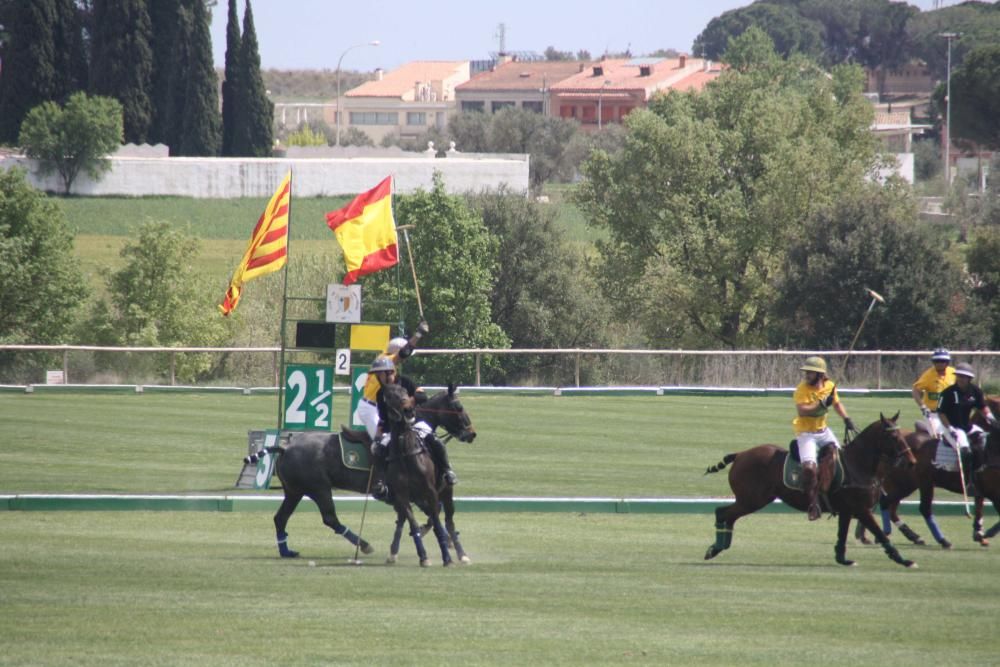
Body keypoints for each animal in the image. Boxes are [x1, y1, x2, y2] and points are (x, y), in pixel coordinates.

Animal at [700, 414, 916, 568]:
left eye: (901, 435)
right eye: (893, 436)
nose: (911, 461)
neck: (857, 464)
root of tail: (740, 454)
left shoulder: (847, 510)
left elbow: (842, 535)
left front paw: (843, 559)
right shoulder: (861, 510)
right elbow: (880, 533)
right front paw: (904, 560)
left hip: (752, 499)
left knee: (728, 516)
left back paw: (718, 547)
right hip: (752, 499)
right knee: (722, 513)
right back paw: (715, 548)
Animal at [856, 396, 1000, 548]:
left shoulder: (984, 489)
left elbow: (979, 508)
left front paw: (980, 533)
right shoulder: (992, 490)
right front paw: (985, 533)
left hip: (907, 484)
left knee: (888, 505)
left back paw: (906, 536)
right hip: (919, 482)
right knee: (920, 508)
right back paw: (940, 540)